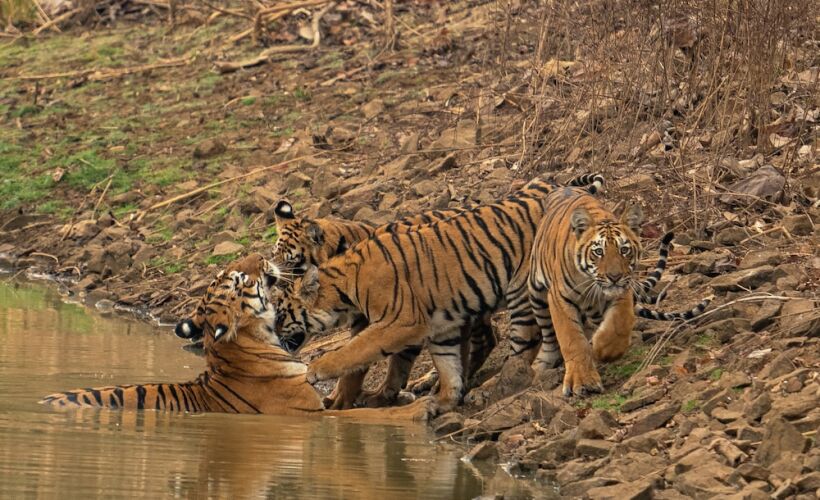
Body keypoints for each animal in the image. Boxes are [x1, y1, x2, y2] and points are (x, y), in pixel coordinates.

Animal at [527, 186, 712, 396]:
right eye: (598, 252)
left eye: (624, 250)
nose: (614, 276)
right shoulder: (560, 298)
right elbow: (571, 339)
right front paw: (582, 381)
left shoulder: (622, 292)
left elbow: (618, 325)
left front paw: (604, 350)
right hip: (536, 293)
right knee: (548, 333)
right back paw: (543, 363)